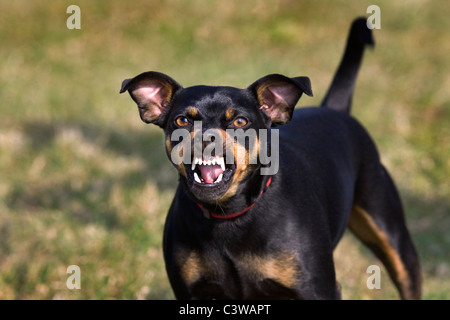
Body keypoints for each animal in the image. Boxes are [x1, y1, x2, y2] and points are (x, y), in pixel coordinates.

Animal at [120, 18, 422, 300]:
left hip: (392, 236)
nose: (206, 138)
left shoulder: (318, 289)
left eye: (240, 121)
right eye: (182, 120)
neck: (228, 216)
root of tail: (335, 109)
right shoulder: (191, 291)